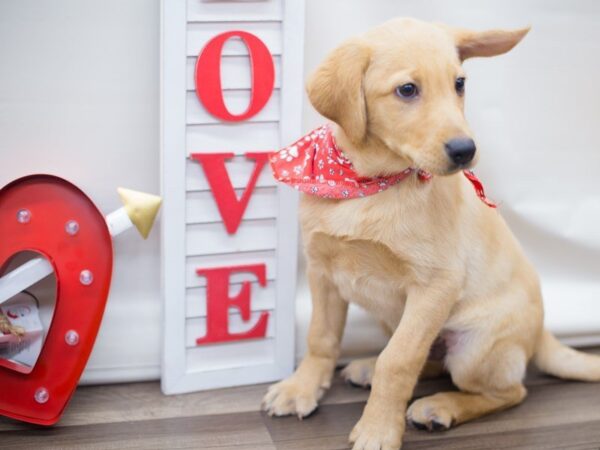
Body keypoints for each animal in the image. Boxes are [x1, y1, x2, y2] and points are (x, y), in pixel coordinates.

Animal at [264, 15, 600, 448]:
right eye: (407, 90)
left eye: (459, 84)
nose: (465, 150)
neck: (372, 184)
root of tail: (542, 331)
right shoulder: (322, 271)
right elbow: (320, 338)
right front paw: (300, 389)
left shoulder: (434, 286)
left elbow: (399, 360)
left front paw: (378, 428)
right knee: (430, 359)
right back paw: (368, 368)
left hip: (475, 348)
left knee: (509, 391)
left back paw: (439, 407)